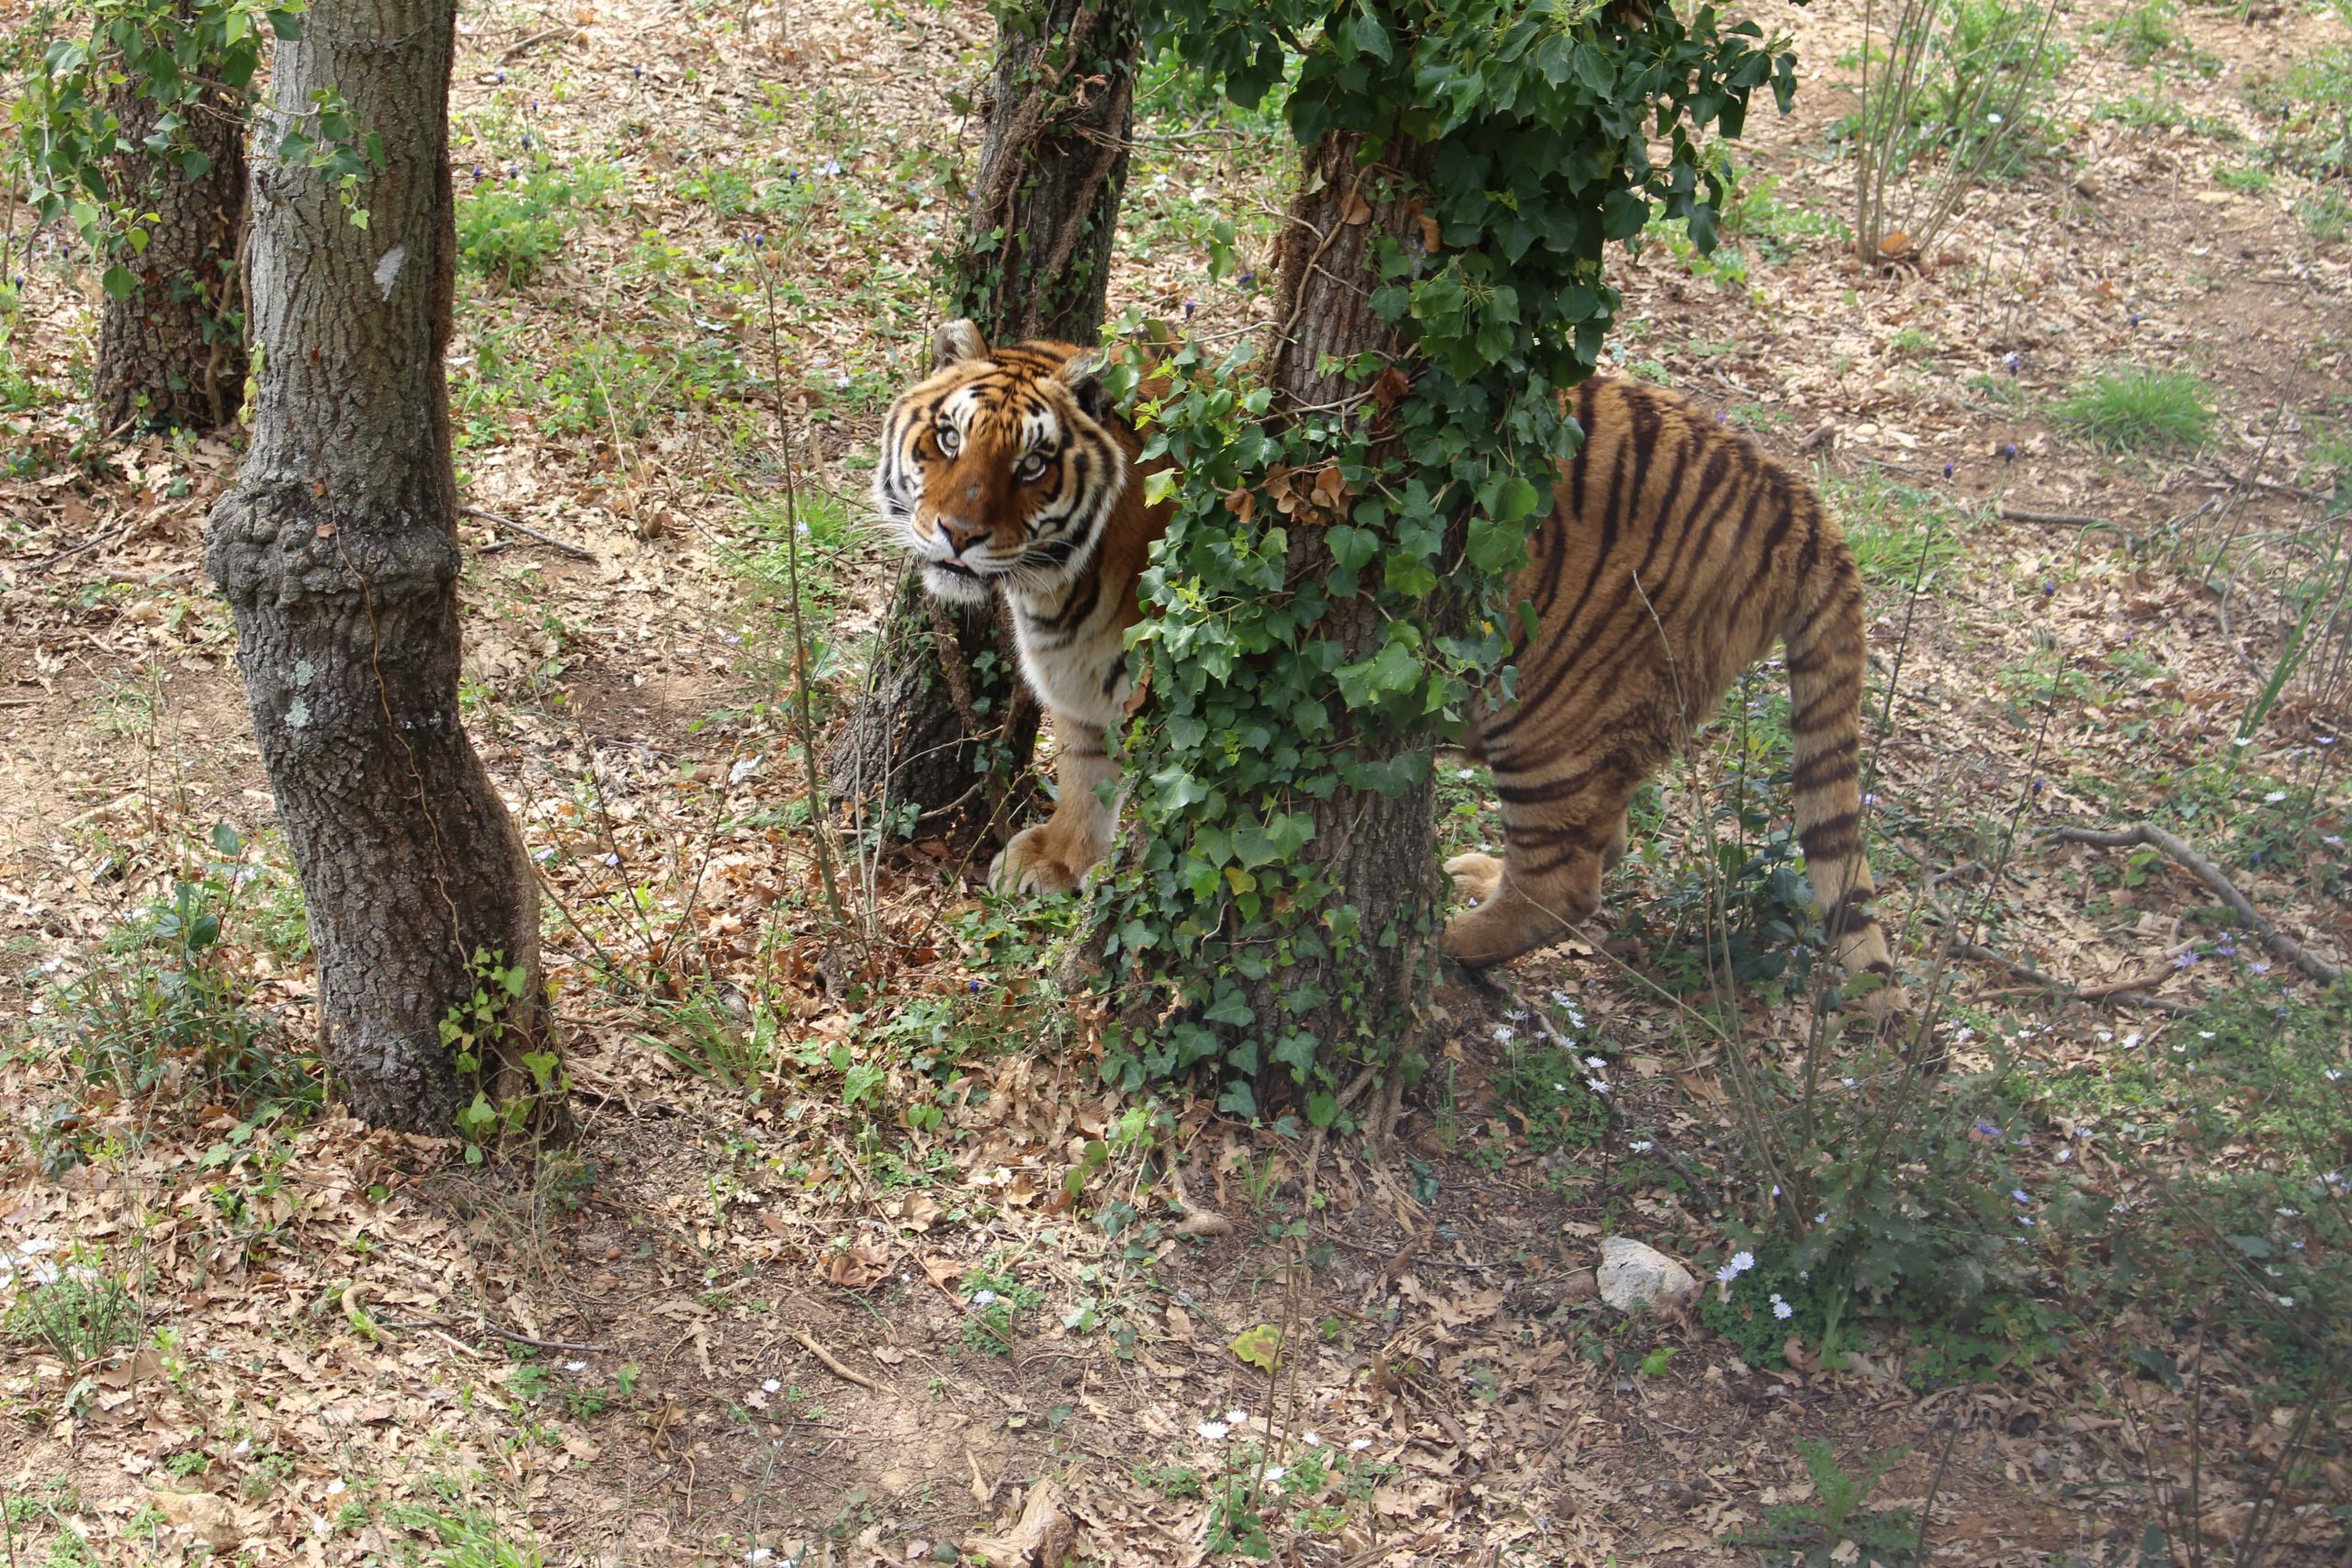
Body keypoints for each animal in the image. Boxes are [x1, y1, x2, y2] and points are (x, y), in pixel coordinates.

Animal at [875, 320, 1900, 1006]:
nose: (958, 535)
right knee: (1599, 843)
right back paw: (1473, 880)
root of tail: (1793, 496)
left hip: (1552, 721)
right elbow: (1087, 780)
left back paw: (1442, 944)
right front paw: (1058, 858)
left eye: (1034, 466)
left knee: (1569, 884)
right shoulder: (1083, 697)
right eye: (949, 440)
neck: (1050, 584)